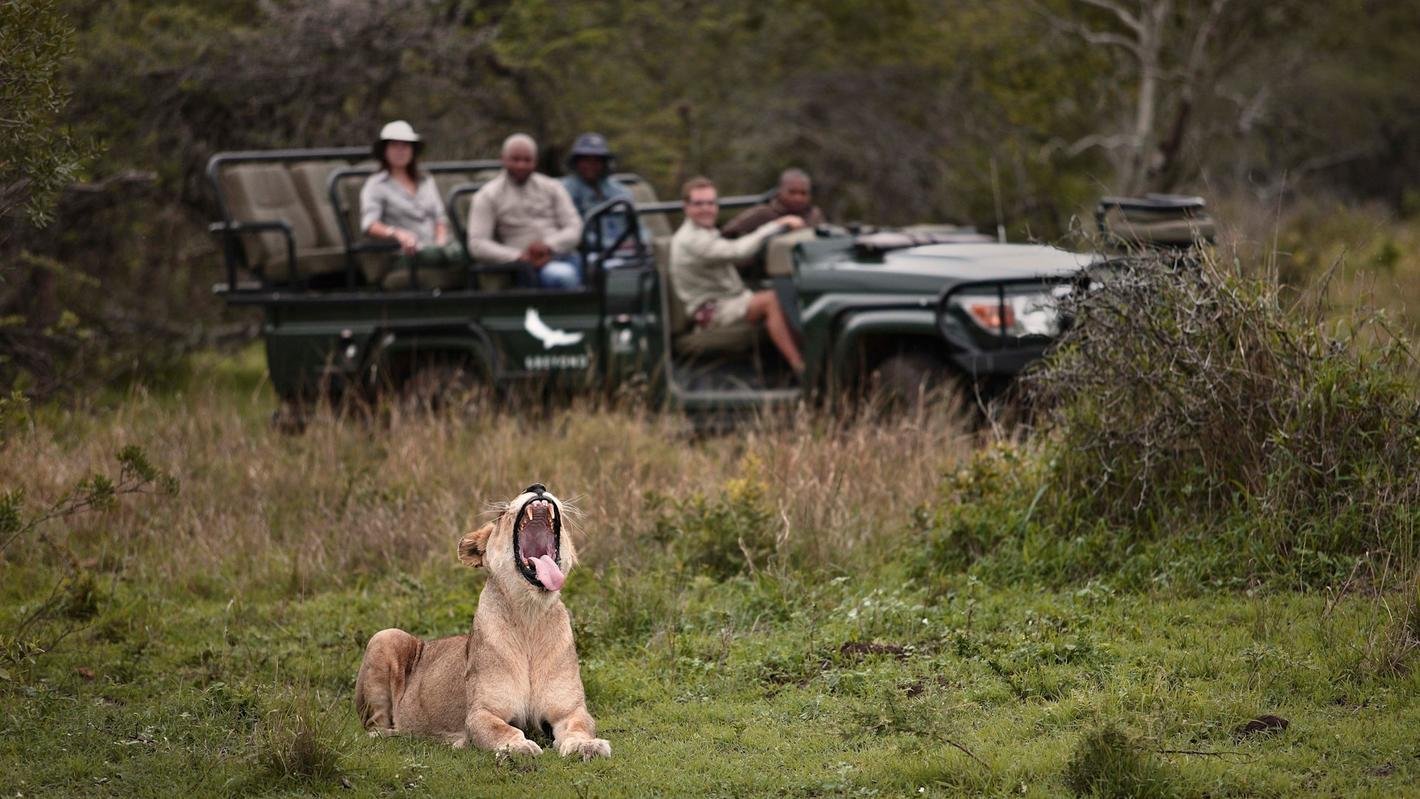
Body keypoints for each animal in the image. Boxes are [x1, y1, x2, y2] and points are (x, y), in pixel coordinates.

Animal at [353, 484, 610, 760]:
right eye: (500, 514)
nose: (537, 487)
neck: (530, 615)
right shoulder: (481, 712)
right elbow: (501, 730)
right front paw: (518, 747)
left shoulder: (570, 710)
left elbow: (580, 726)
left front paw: (588, 746)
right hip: (385, 636)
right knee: (375, 726)